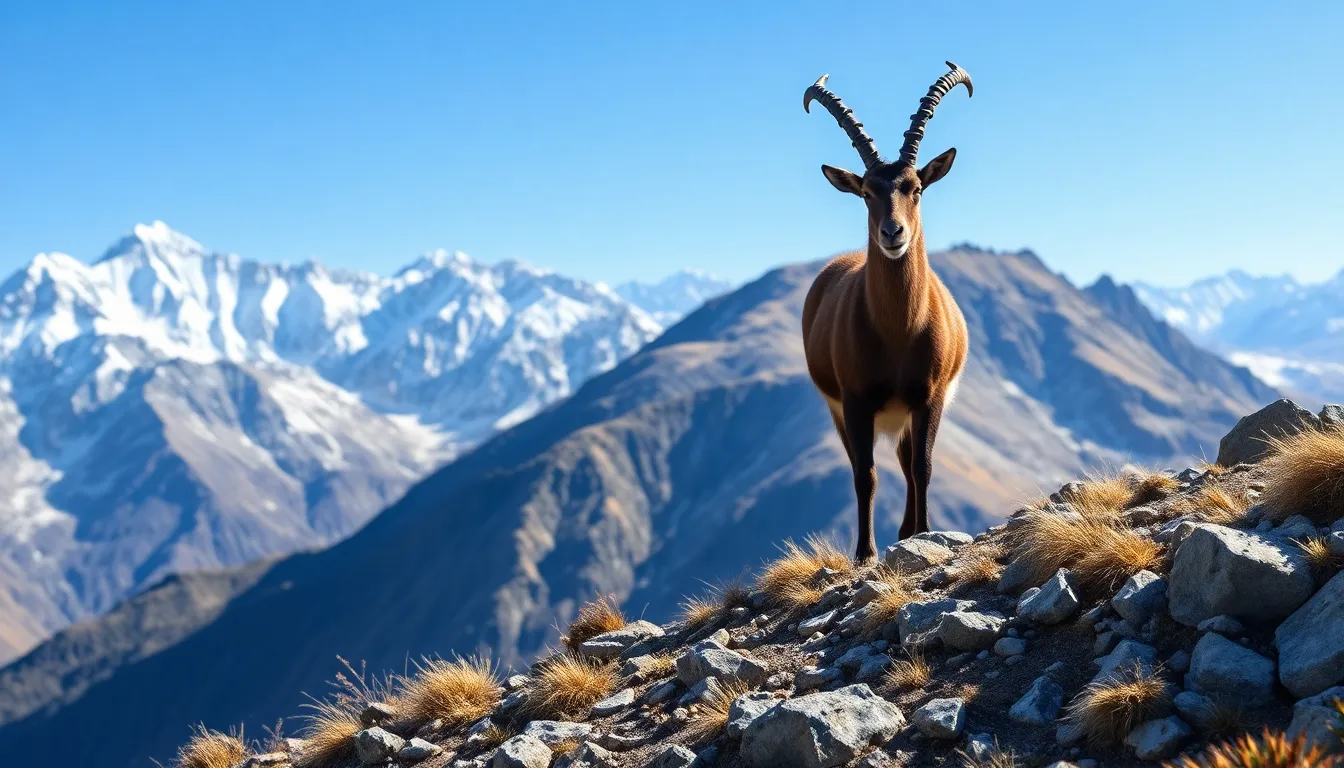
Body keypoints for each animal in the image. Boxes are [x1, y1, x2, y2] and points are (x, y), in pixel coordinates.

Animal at [800, 62, 973, 562]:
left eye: (915, 187)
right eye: (865, 192)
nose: (892, 232)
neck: (898, 331)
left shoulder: (930, 397)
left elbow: (923, 465)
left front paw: (926, 533)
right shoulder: (855, 401)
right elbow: (866, 474)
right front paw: (865, 553)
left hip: (907, 412)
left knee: (907, 459)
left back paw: (909, 529)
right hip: (845, 410)